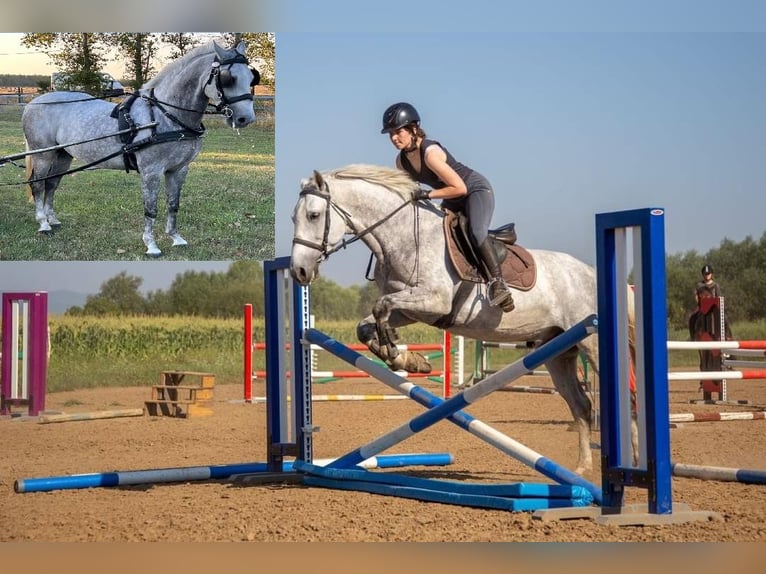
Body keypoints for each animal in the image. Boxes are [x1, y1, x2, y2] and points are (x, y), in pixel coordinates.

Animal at [21, 40, 260, 256]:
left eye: (251, 78)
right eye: (228, 78)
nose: (245, 119)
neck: (165, 115)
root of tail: (34, 103)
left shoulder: (179, 169)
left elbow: (173, 204)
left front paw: (175, 237)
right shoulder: (151, 170)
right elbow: (151, 208)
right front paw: (151, 245)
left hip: (63, 155)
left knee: (52, 185)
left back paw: (53, 219)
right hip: (43, 155)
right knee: (38, 185)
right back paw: (43, 224)